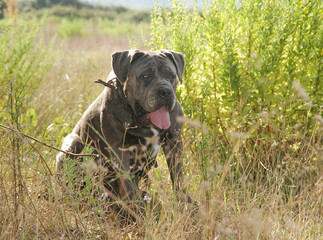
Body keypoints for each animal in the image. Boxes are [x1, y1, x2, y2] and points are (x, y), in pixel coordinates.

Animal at [56, 49, 191, 205]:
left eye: (171, 76)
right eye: (146, 76)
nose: (166, 91)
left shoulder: (174, 141)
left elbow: (177, 175)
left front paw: (185, 202)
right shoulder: (119, 148)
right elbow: (126, 182)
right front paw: (133, 206)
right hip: (74, 143)